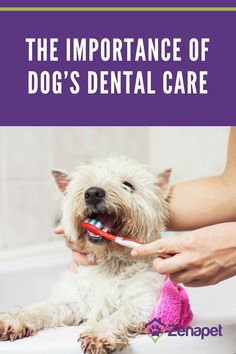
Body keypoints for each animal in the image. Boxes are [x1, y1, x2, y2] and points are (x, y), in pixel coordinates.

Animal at [0, 158, 170, 354]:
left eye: (128, 185)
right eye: (85, 184)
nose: (93, 193)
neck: (110, 261)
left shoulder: (143, 301)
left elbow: (120, 315)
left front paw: (100, 334)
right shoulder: (72, 301)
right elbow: (42, 308)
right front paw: (14, 320)